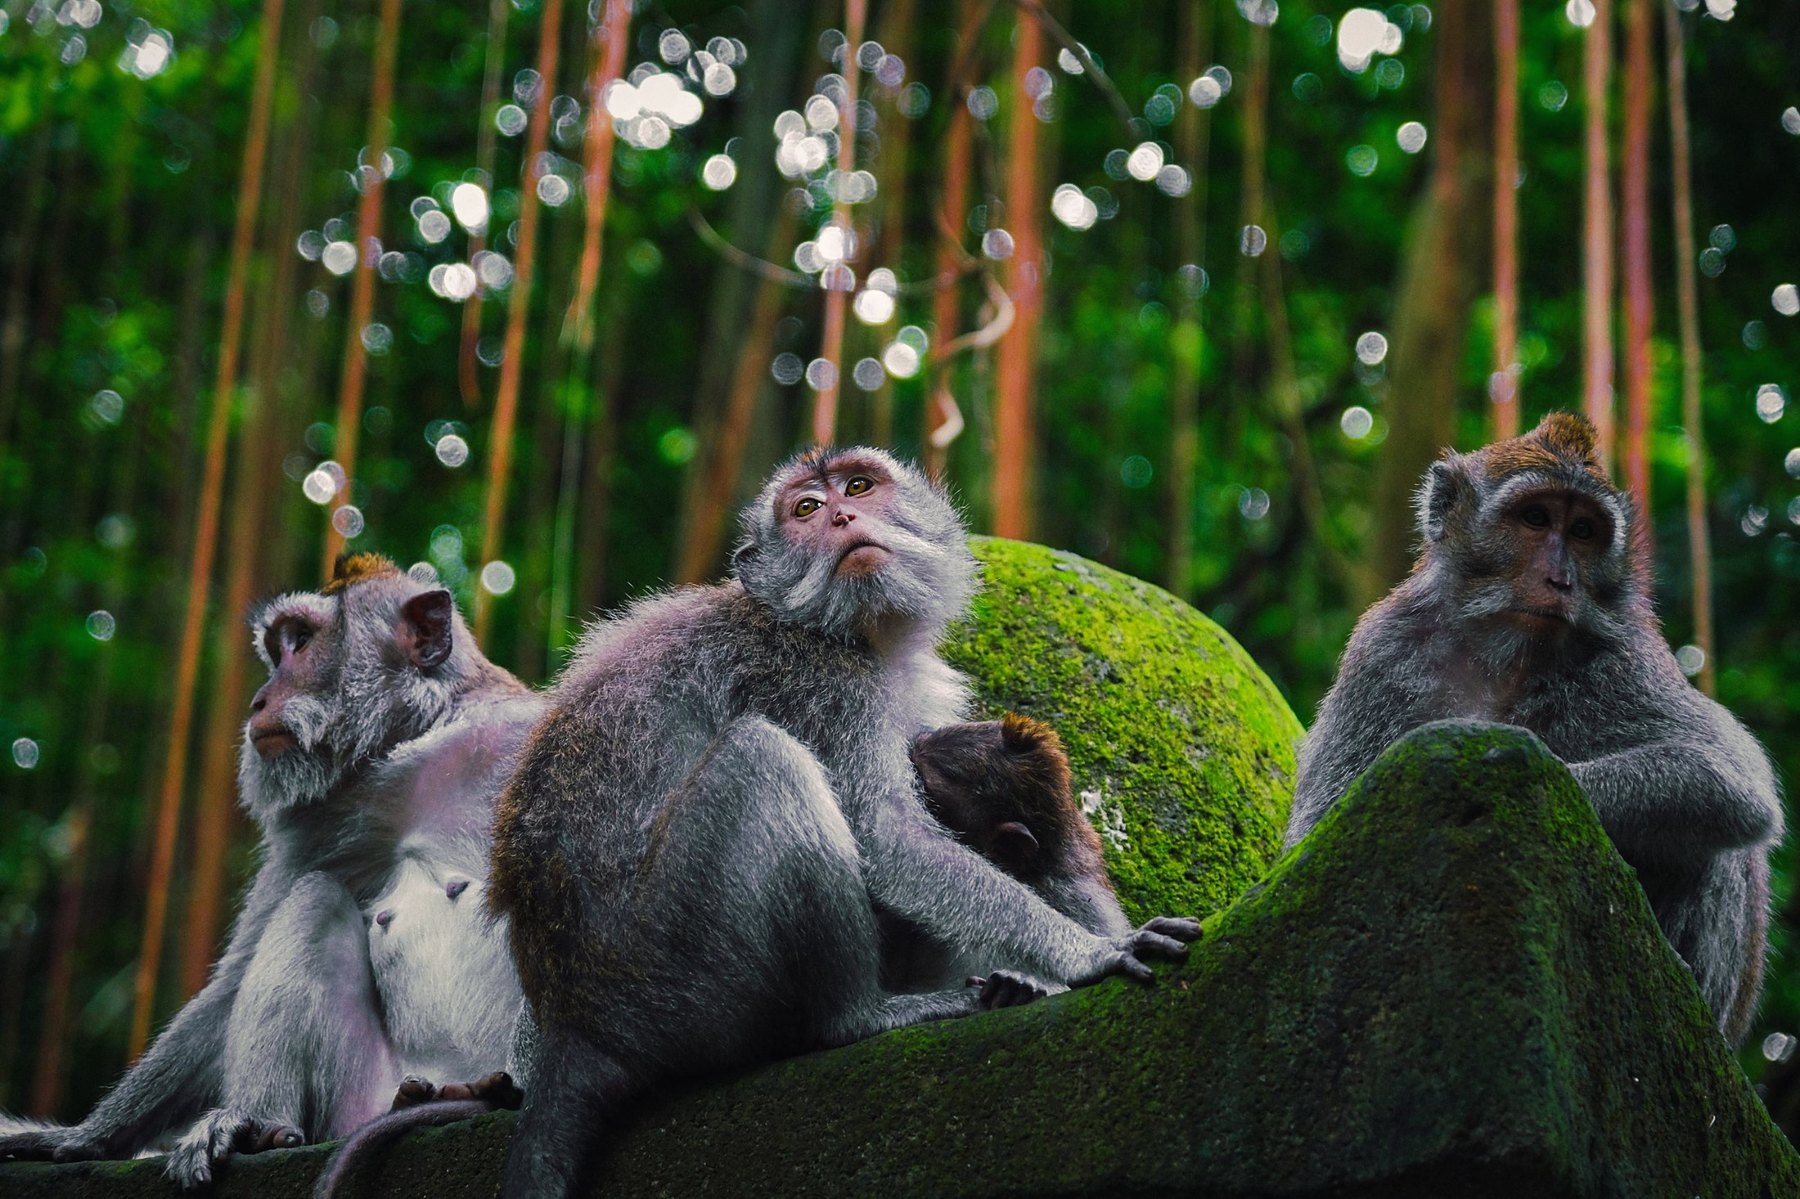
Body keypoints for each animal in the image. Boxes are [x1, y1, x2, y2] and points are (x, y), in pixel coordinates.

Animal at [0, 554, 541, 1185]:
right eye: (276, 649)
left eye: (300, 642)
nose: (258, 701)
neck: (428, 740)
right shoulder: (328, 817)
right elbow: (234, 980)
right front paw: (86, 1138)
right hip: (359, 1099)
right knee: (313, 902)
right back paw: (257, 1126)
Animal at [486, 446, 1201, 1197]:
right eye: (805, 509)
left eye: (858, 486)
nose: (839, 517)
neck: (841, 630)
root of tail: (576, 1025)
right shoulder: (821, 683)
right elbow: (888, 839)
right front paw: (1090, 954)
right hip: (671, 972)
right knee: (764, 759)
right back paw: (859, 1016)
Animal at [1285, 413, 1782, 1043]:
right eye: (1536, 519)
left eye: (1585, 531)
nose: (1561, 579)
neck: (1504, 653)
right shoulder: (1382, 651)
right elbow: (1320, 835)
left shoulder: (1626, 658)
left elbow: (1733, 780)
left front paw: (1505, 762)